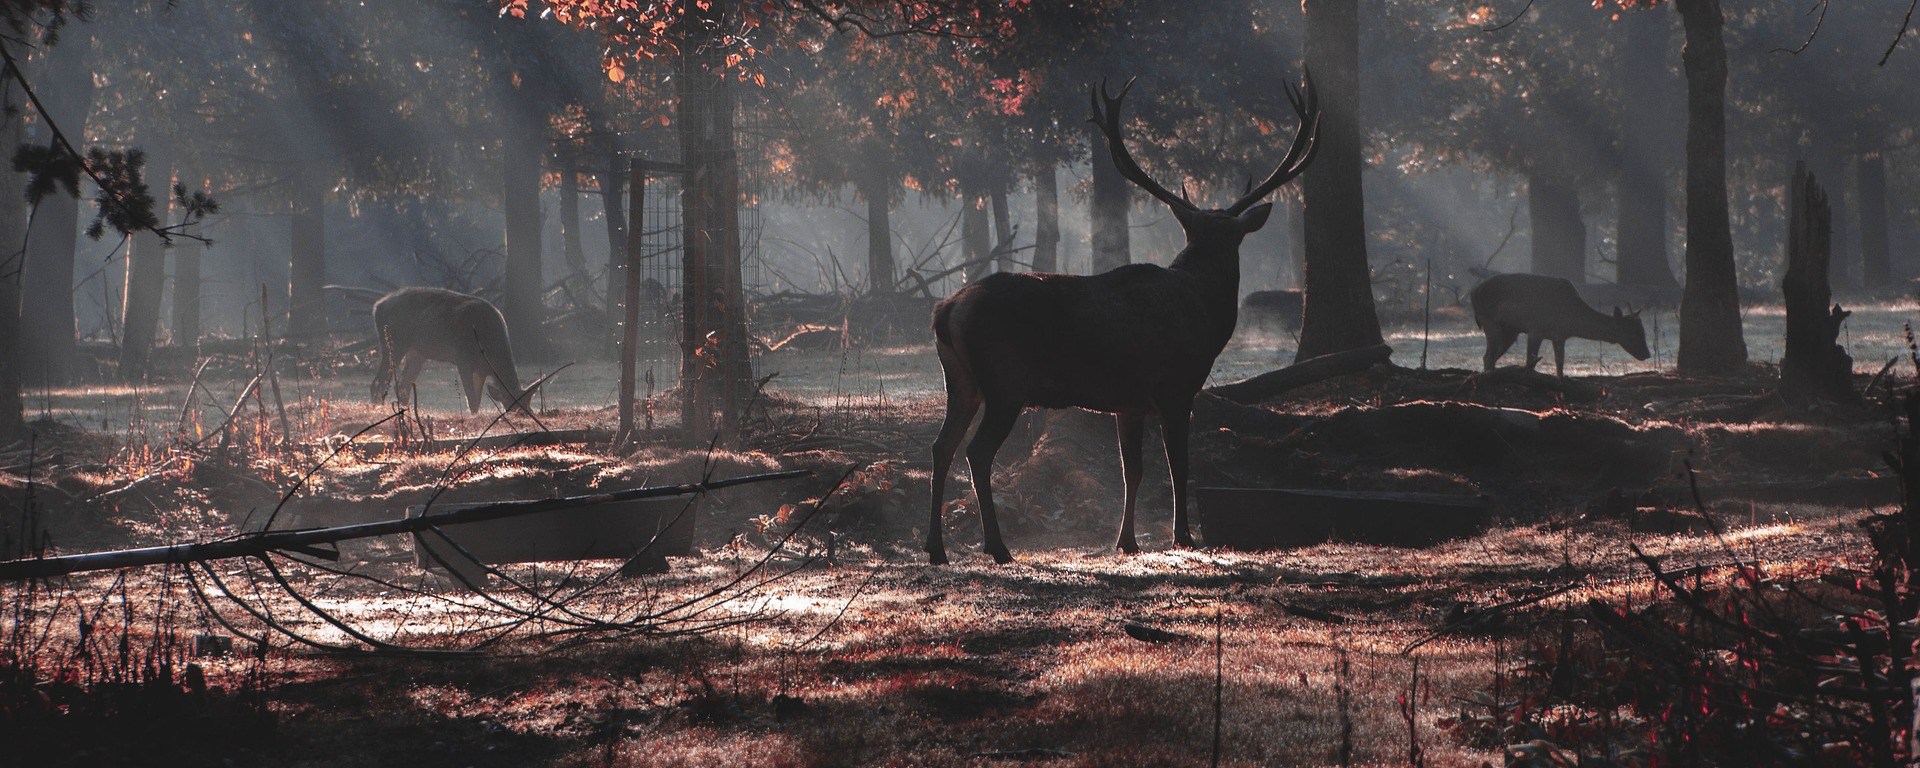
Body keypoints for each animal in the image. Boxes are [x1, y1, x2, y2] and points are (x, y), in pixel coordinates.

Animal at [366, 287, 536, 416]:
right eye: (511, 405)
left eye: (528, 403)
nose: (528, 414)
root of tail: (376, 307)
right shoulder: (462, 358)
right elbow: (471, 399)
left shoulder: (481, 370)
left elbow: (478, 400)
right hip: (394, 343)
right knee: (378, 382)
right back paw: (378, 410)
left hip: (417, 353)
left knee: (402, 385)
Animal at [924, 74, 1320, 565]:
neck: (1205, 312)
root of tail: (946, 310)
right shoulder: (1175, 387)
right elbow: (1177, 464)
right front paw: (1183, 537)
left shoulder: (1127, 401)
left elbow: (1132, 469)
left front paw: (1126, 540)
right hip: (1004, 382)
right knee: (977, 452)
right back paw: (997, 547)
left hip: (960, 382)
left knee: (941, 446)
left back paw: (936, 547)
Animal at [1469, 273, 1651, 378]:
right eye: (1632, 332)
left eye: (1643, 330)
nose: (1647, 354)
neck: (1568, 317)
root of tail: (1473, 292)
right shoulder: (1536, 329)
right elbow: (1530, 362)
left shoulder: (1560, 336)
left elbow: (1560, 364)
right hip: (1489, 321)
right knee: (1488, 357)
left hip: (1510, 331)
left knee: (1491, 357)